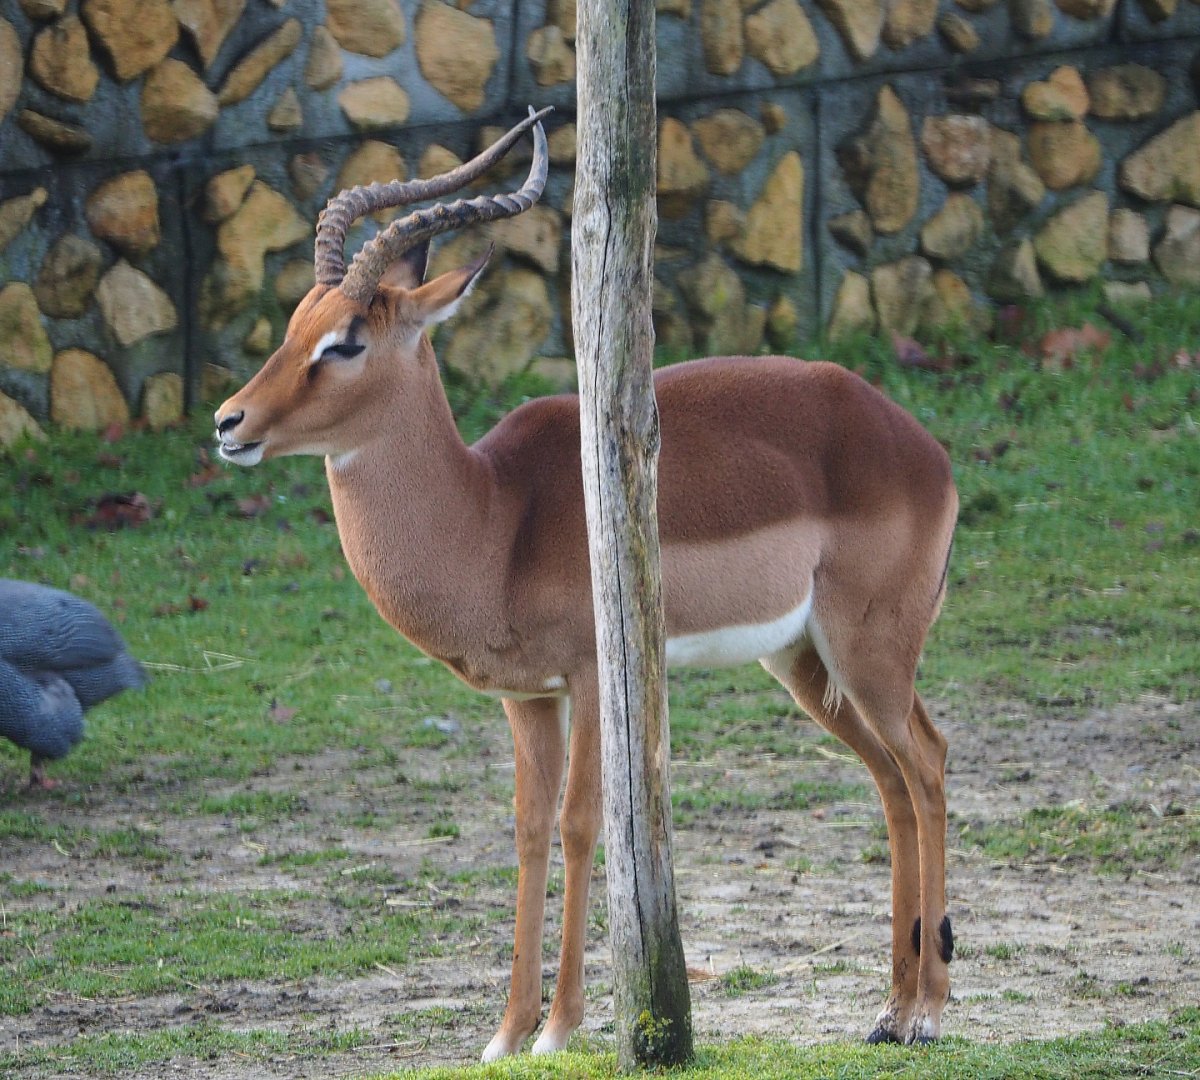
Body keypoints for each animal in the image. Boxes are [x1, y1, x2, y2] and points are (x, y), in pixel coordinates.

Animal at [214, 107, 959, 1057]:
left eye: (346, 341)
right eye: (294, 320)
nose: (229, 422)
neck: (494, 517)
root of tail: (918, 445)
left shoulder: (596, 674)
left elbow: (579, 823)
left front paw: (562, 1027)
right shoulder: (528, 697)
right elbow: (529, 830)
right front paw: (506, 1032)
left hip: (869, 653)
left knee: (928, 763)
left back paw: (928, 1010)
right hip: (803, 664)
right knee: (892, 780)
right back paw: (891, 1009)